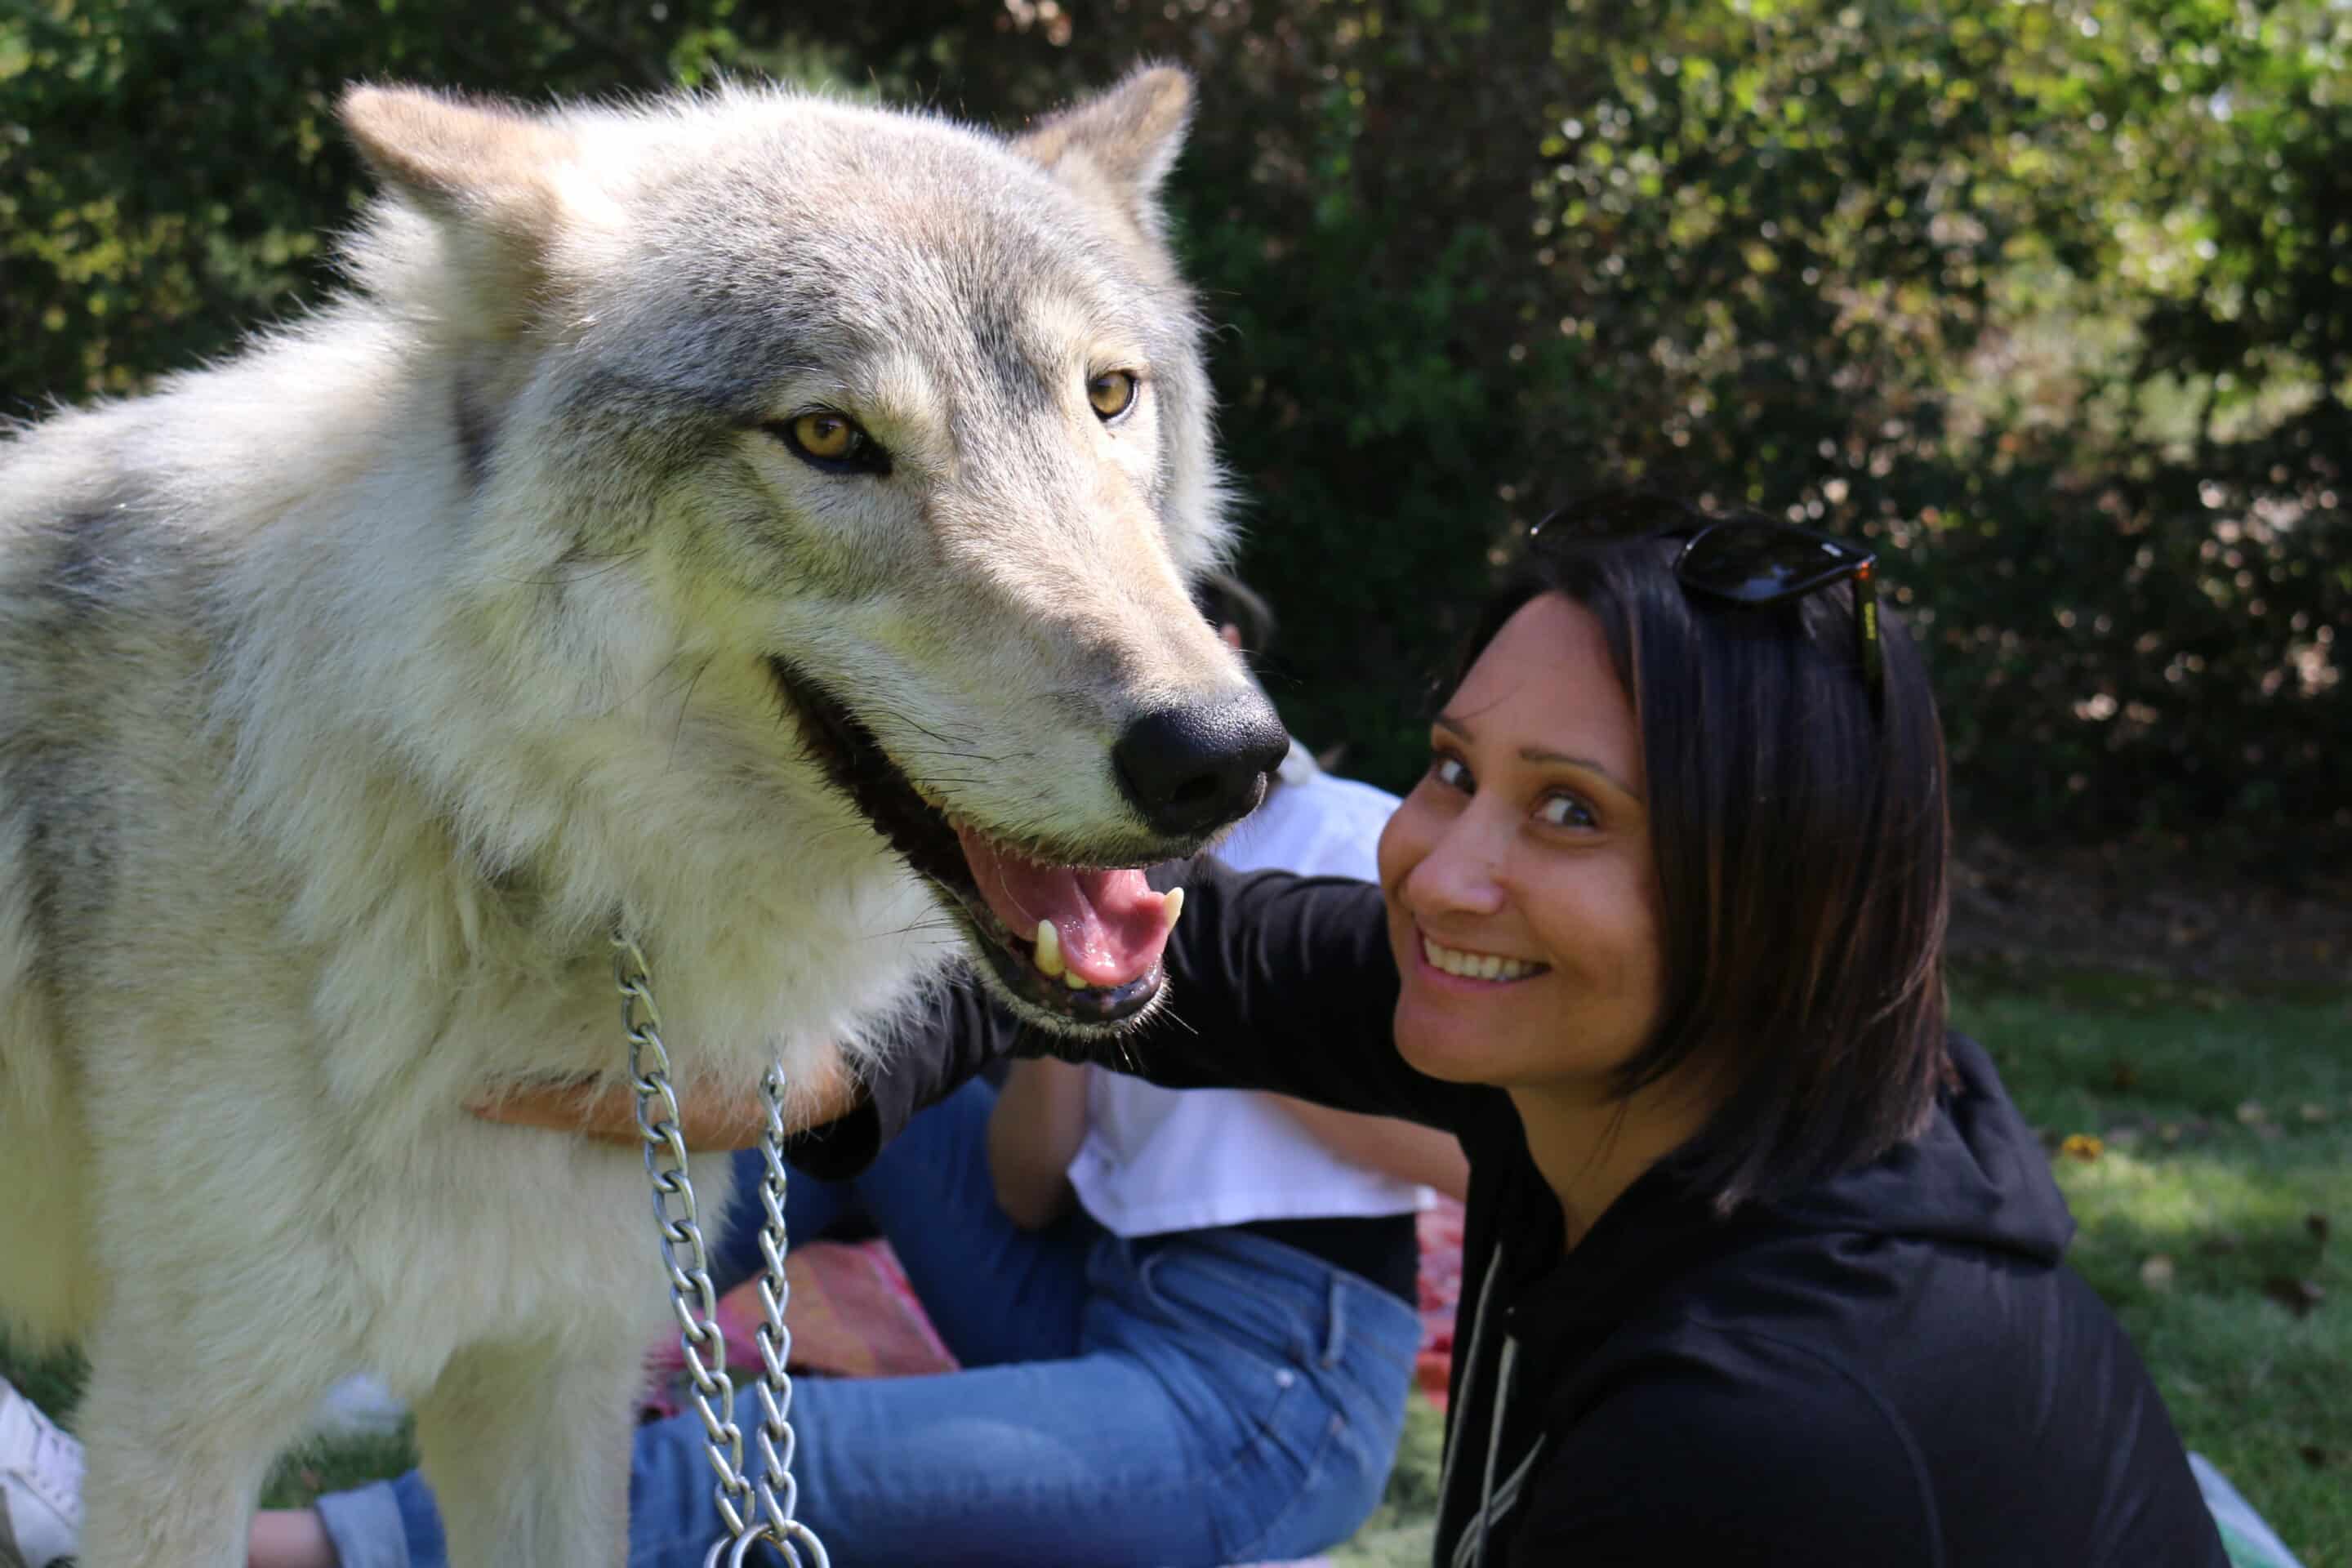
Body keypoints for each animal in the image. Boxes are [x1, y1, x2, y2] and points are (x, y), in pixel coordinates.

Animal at [0, 66, 1285, 1566]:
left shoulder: (555, 1371)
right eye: (829, 435)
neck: (494, 838)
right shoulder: (176, 1422)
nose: (1223, 759)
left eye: (1107, 395)